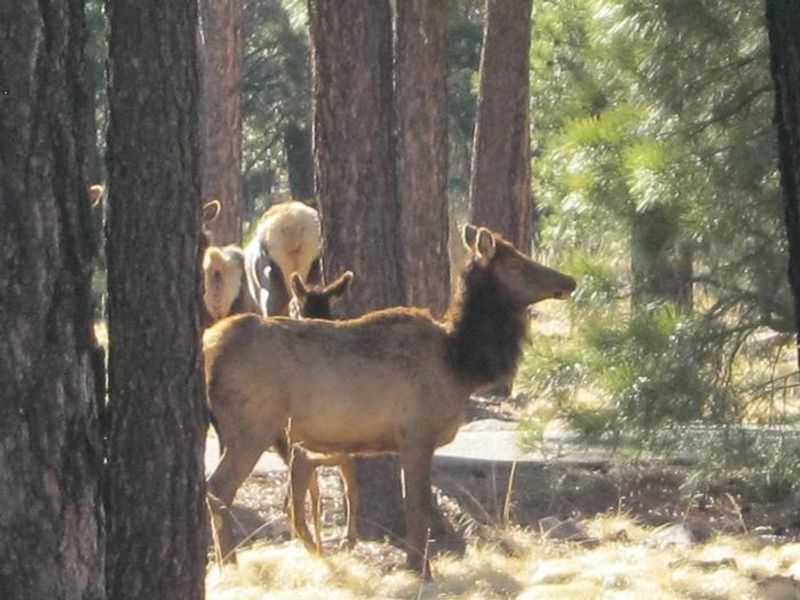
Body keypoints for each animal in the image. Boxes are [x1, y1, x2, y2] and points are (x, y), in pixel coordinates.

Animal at [204, 225, 577, 577]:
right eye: (516, 263)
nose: (569, 280)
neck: (460, 362)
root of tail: (209, 351)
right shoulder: (418, 433)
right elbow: (417, 506)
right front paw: (420, 569)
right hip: (251, 428)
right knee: (218, 488)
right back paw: (230, 563)